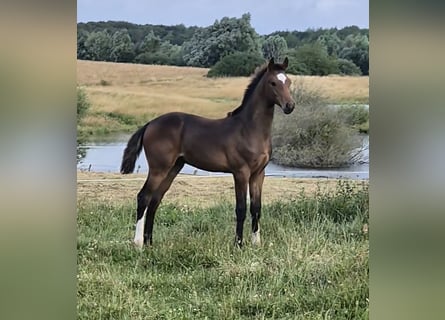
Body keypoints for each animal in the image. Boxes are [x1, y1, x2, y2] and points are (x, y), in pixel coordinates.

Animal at [120, 57, 294, 248]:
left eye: (289, 82)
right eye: (273, 83)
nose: (290, 106)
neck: (249, 129)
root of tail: (150, 124)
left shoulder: (258, 174)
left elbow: (256, 208)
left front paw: (256, 244)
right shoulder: (241, 172)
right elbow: (241, 208)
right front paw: (238, 244)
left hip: (173, 168)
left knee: (154, 201)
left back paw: (150, 243)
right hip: (159, 169)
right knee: (143, 197)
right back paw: (138, 244)